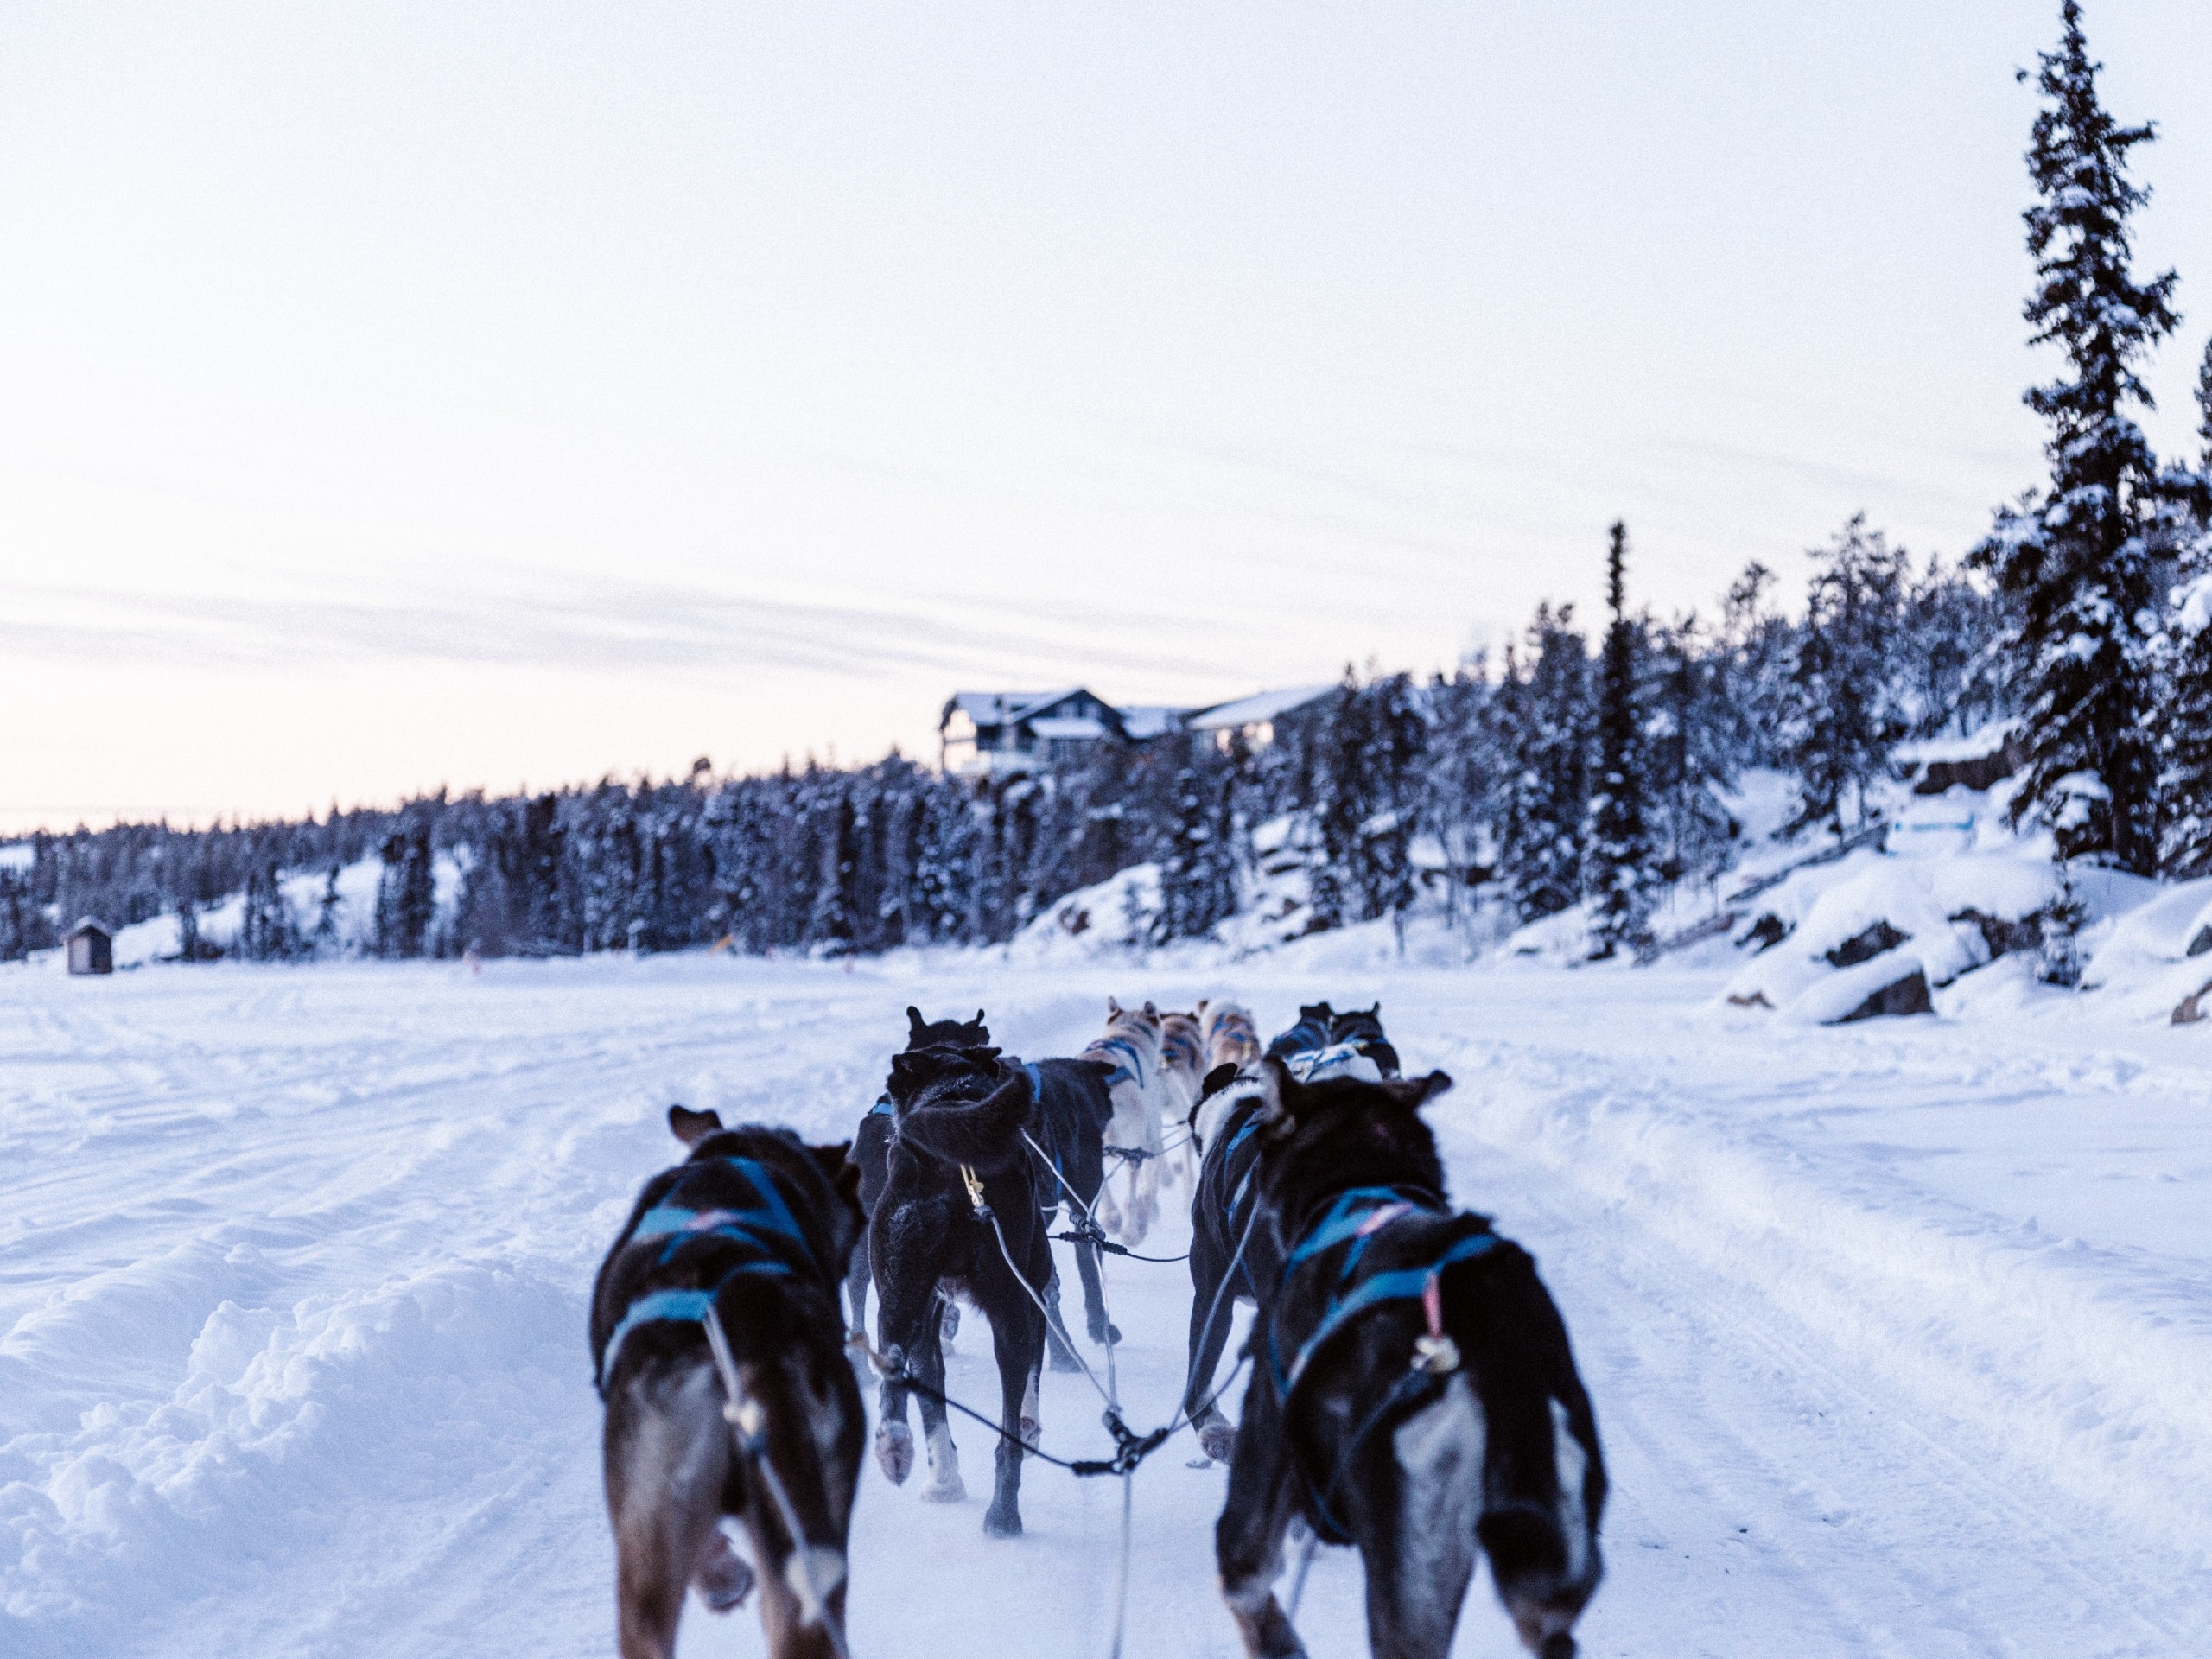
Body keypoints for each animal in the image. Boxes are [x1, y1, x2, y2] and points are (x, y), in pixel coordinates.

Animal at [867, 1044, 1048, 1539]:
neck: (951, 1087)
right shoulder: (1035, 1295)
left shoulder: (927, 1320)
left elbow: (932, 1403)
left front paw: (943, 1482)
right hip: (1007, 1306)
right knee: (1008, 1437)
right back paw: (1004, 1513)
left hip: (897, 1292)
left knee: (892, 1365)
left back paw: (894, 1447)